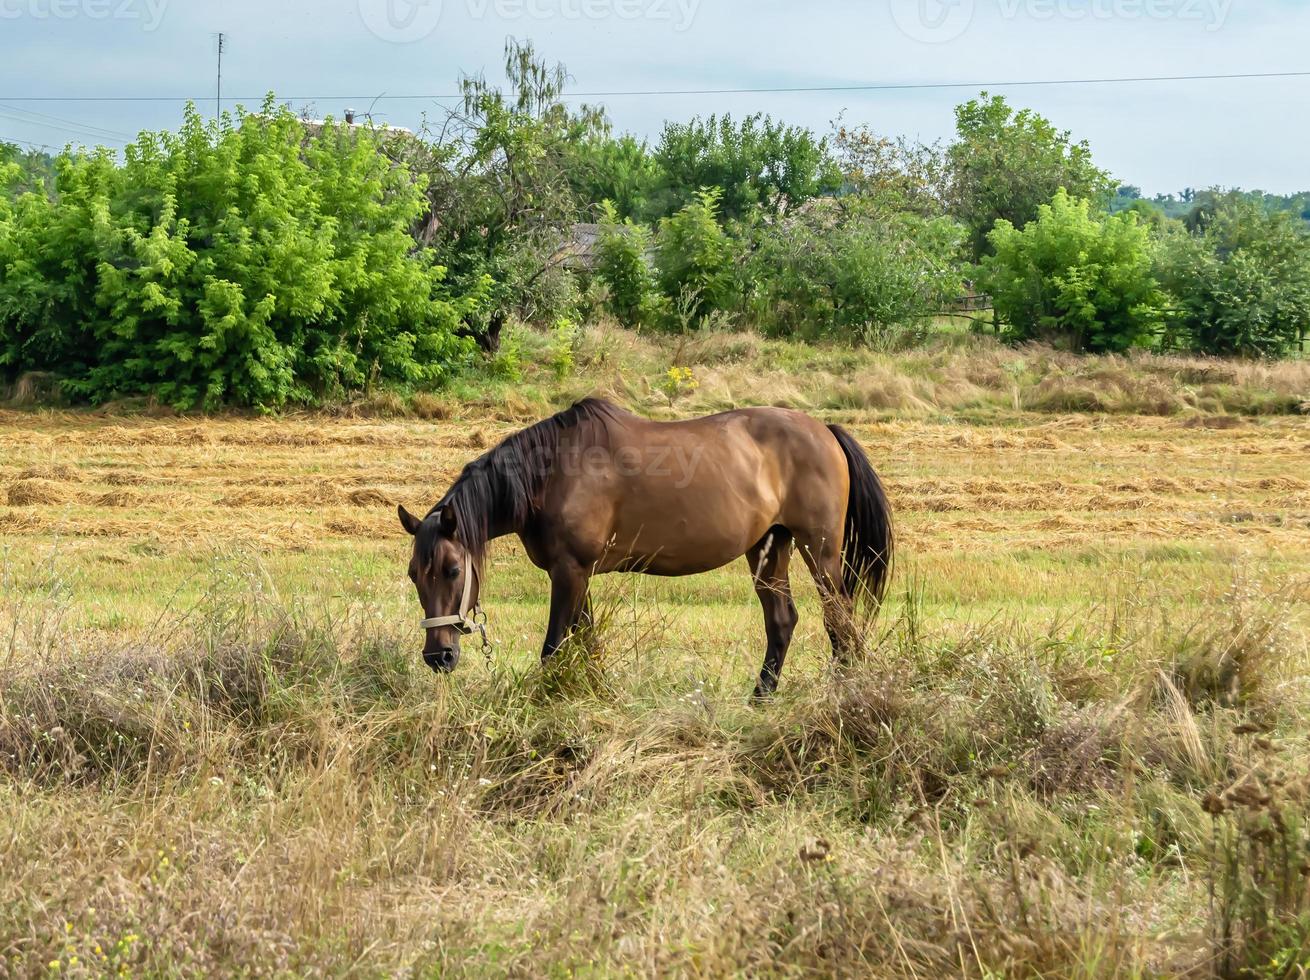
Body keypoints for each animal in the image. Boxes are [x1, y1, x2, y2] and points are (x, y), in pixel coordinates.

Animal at [395, 398, 890, 697]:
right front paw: (594, 695)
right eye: (414, 575)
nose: (438, 656)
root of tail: (825, 430)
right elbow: (587, 641)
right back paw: (760, 699)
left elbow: (554, 646)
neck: (551, 473)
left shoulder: (569, 572)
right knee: (783, 621)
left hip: (819, 550)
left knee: (841, 622)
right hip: (770, 547)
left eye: (453, 570)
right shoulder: (575, 572)